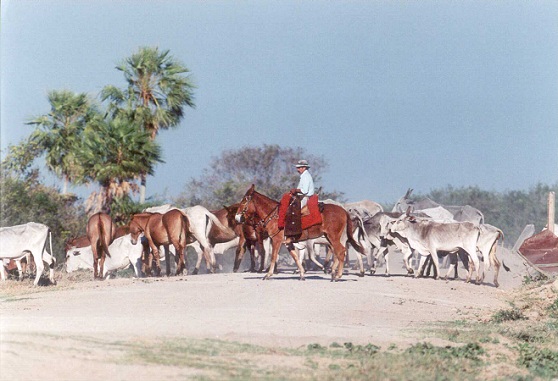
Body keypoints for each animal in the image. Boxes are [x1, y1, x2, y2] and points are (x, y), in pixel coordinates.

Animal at [234, 186, 366, 280]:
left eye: (244, 201)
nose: (237, 217)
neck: (275, 216)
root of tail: (344, 211)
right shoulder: (288, 242)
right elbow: (296, 257)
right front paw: (302, 274)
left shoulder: (276, 240)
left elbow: (274, 256)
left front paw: (268, 275)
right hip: (331, 238)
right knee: (338, 252)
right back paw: (334, 272)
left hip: (334, 237)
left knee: (341, 251)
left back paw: (337, 275)